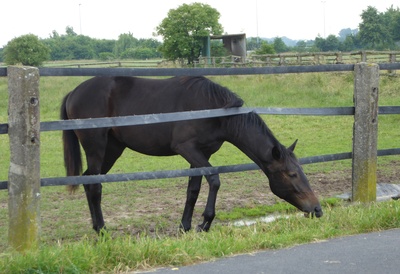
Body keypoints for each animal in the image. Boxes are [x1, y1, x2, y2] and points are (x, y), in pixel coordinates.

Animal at [60, 75, 322, 233]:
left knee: (88, 181)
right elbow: (214, 179)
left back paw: (97, 226)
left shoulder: (199, 154)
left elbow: (193, 190)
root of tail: (73, 92)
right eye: (291, 174)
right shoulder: (187, 149)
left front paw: (185, 226)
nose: (317, 209)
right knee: (94, 185)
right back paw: (102, 230)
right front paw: (205, 222)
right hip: (96, 146)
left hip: (113, 148)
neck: (214, 110)